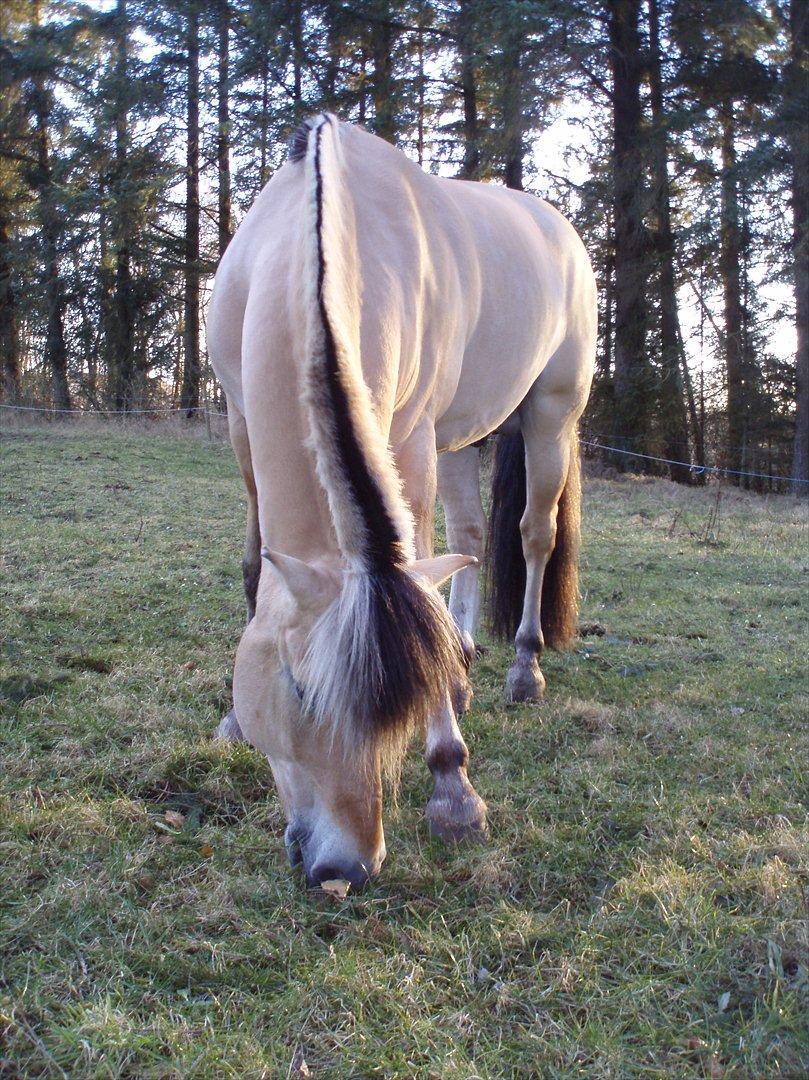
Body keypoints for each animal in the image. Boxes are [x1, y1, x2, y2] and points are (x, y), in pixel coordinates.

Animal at [205, 116, 596, 885]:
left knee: (533, 534)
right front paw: (234, 723)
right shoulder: (238, 422)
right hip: (459, 437)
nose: (347, 869)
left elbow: (415, 576)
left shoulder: (408, 442)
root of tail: (558, 227)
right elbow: (254, 559)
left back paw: (524, 668)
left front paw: (452, 787)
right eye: (299, 690)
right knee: (469, 536)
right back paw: (466, 662)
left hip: (549, 417)